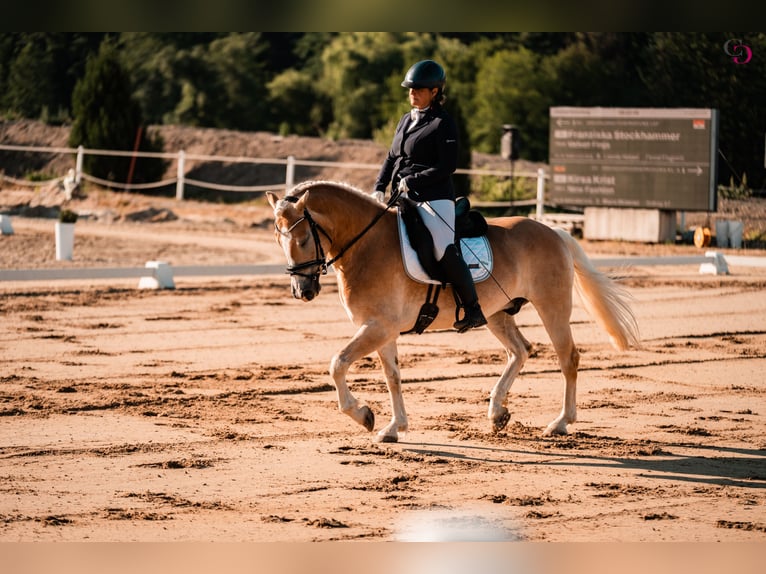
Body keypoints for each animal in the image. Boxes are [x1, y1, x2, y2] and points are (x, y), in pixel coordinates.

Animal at [266, 180, 640, 443]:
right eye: (279, 240)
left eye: (303, 238)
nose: (303, 292)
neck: (366, 245)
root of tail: (554, 232)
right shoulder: (381, 329)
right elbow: (392, 376)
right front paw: (393, 427)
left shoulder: (377, 327)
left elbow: (338, 363)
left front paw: (363, 415)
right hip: (497, 314)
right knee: (520, 351)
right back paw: (497, 412)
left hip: (553, 306)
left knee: (567, 358)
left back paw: (560, 423)